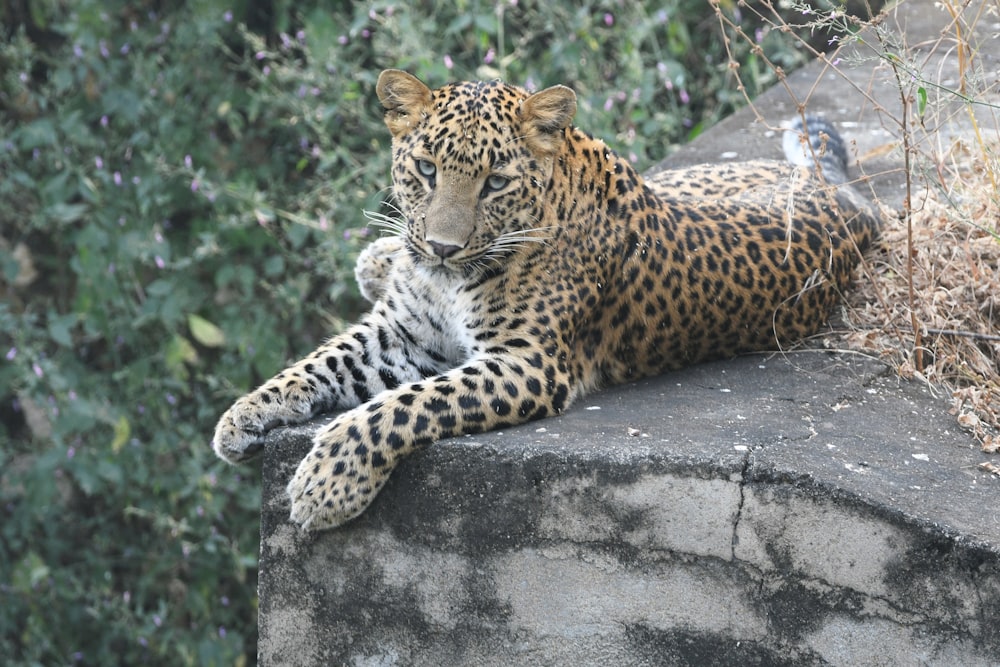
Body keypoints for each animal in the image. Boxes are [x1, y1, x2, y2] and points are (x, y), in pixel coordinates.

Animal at [209, 69, 876, 532]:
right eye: (425, 169)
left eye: (495, 182)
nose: (443, 247)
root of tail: (844, 200)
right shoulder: (402, 332)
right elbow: (323, 362)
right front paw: (242, 416)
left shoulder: (526, 362)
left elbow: (402, 408)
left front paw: (326, 483)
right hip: (691, 179)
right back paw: (381, 256)